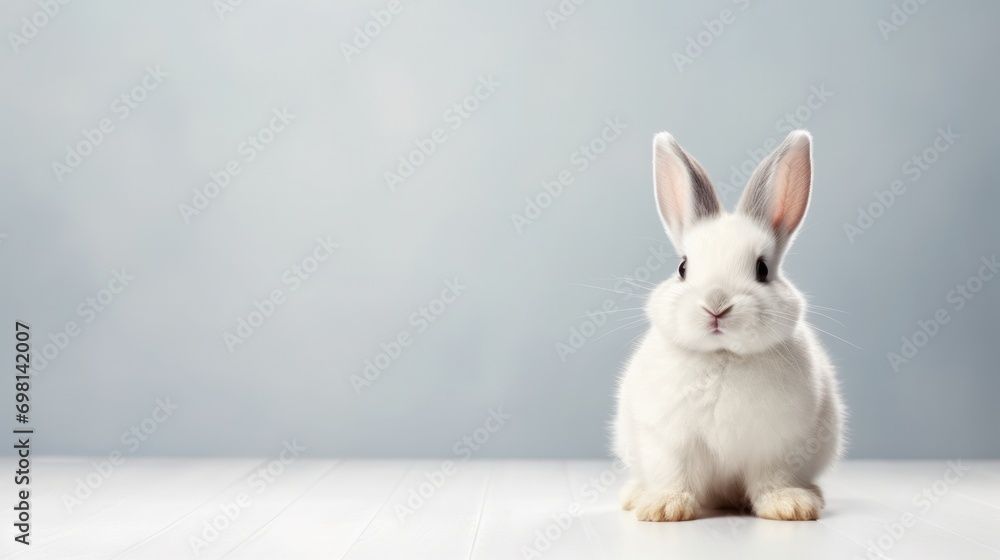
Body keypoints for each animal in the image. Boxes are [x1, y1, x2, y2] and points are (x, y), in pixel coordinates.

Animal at [612, 129, 845, 522]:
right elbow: (673, 472)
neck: (723, 357)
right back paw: (635, 496)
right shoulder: (668, 439)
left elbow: (772, 478)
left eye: (762, 269)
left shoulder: (777, 444)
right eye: (683, 267)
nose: (716, 306)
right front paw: (665, 507)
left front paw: (789, 506)